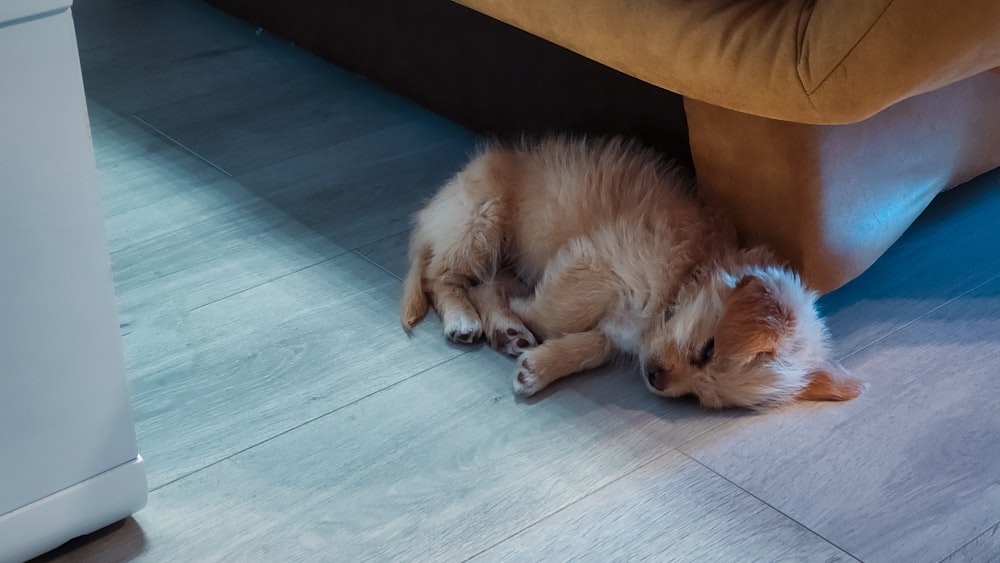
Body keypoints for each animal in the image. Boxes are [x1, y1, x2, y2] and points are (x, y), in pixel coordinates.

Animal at [398, 137, 860, 410]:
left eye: (703, 397)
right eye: (707, 349)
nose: (655, 380)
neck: (683, 280)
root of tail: (434, 209)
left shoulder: (620, 325)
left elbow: (593, 345)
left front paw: (542, 365)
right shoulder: (595, 264)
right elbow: (554, 315)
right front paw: (525, 318)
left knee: (485, 283)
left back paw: (505, 327)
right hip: (480, 220)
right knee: (444, 277)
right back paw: (465, 318)